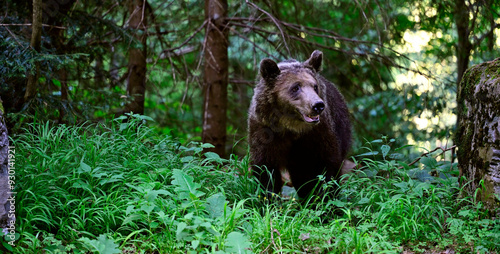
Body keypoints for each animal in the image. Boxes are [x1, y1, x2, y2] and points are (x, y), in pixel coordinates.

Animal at [247, 50, 352, 198]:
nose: (318, 105)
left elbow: (327, 165)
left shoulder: (318, 135)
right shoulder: (264, 131)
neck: (291, 127)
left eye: (315, 86)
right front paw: (268, 197)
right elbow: (266, 170)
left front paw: (324, 197)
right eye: (295, 87)